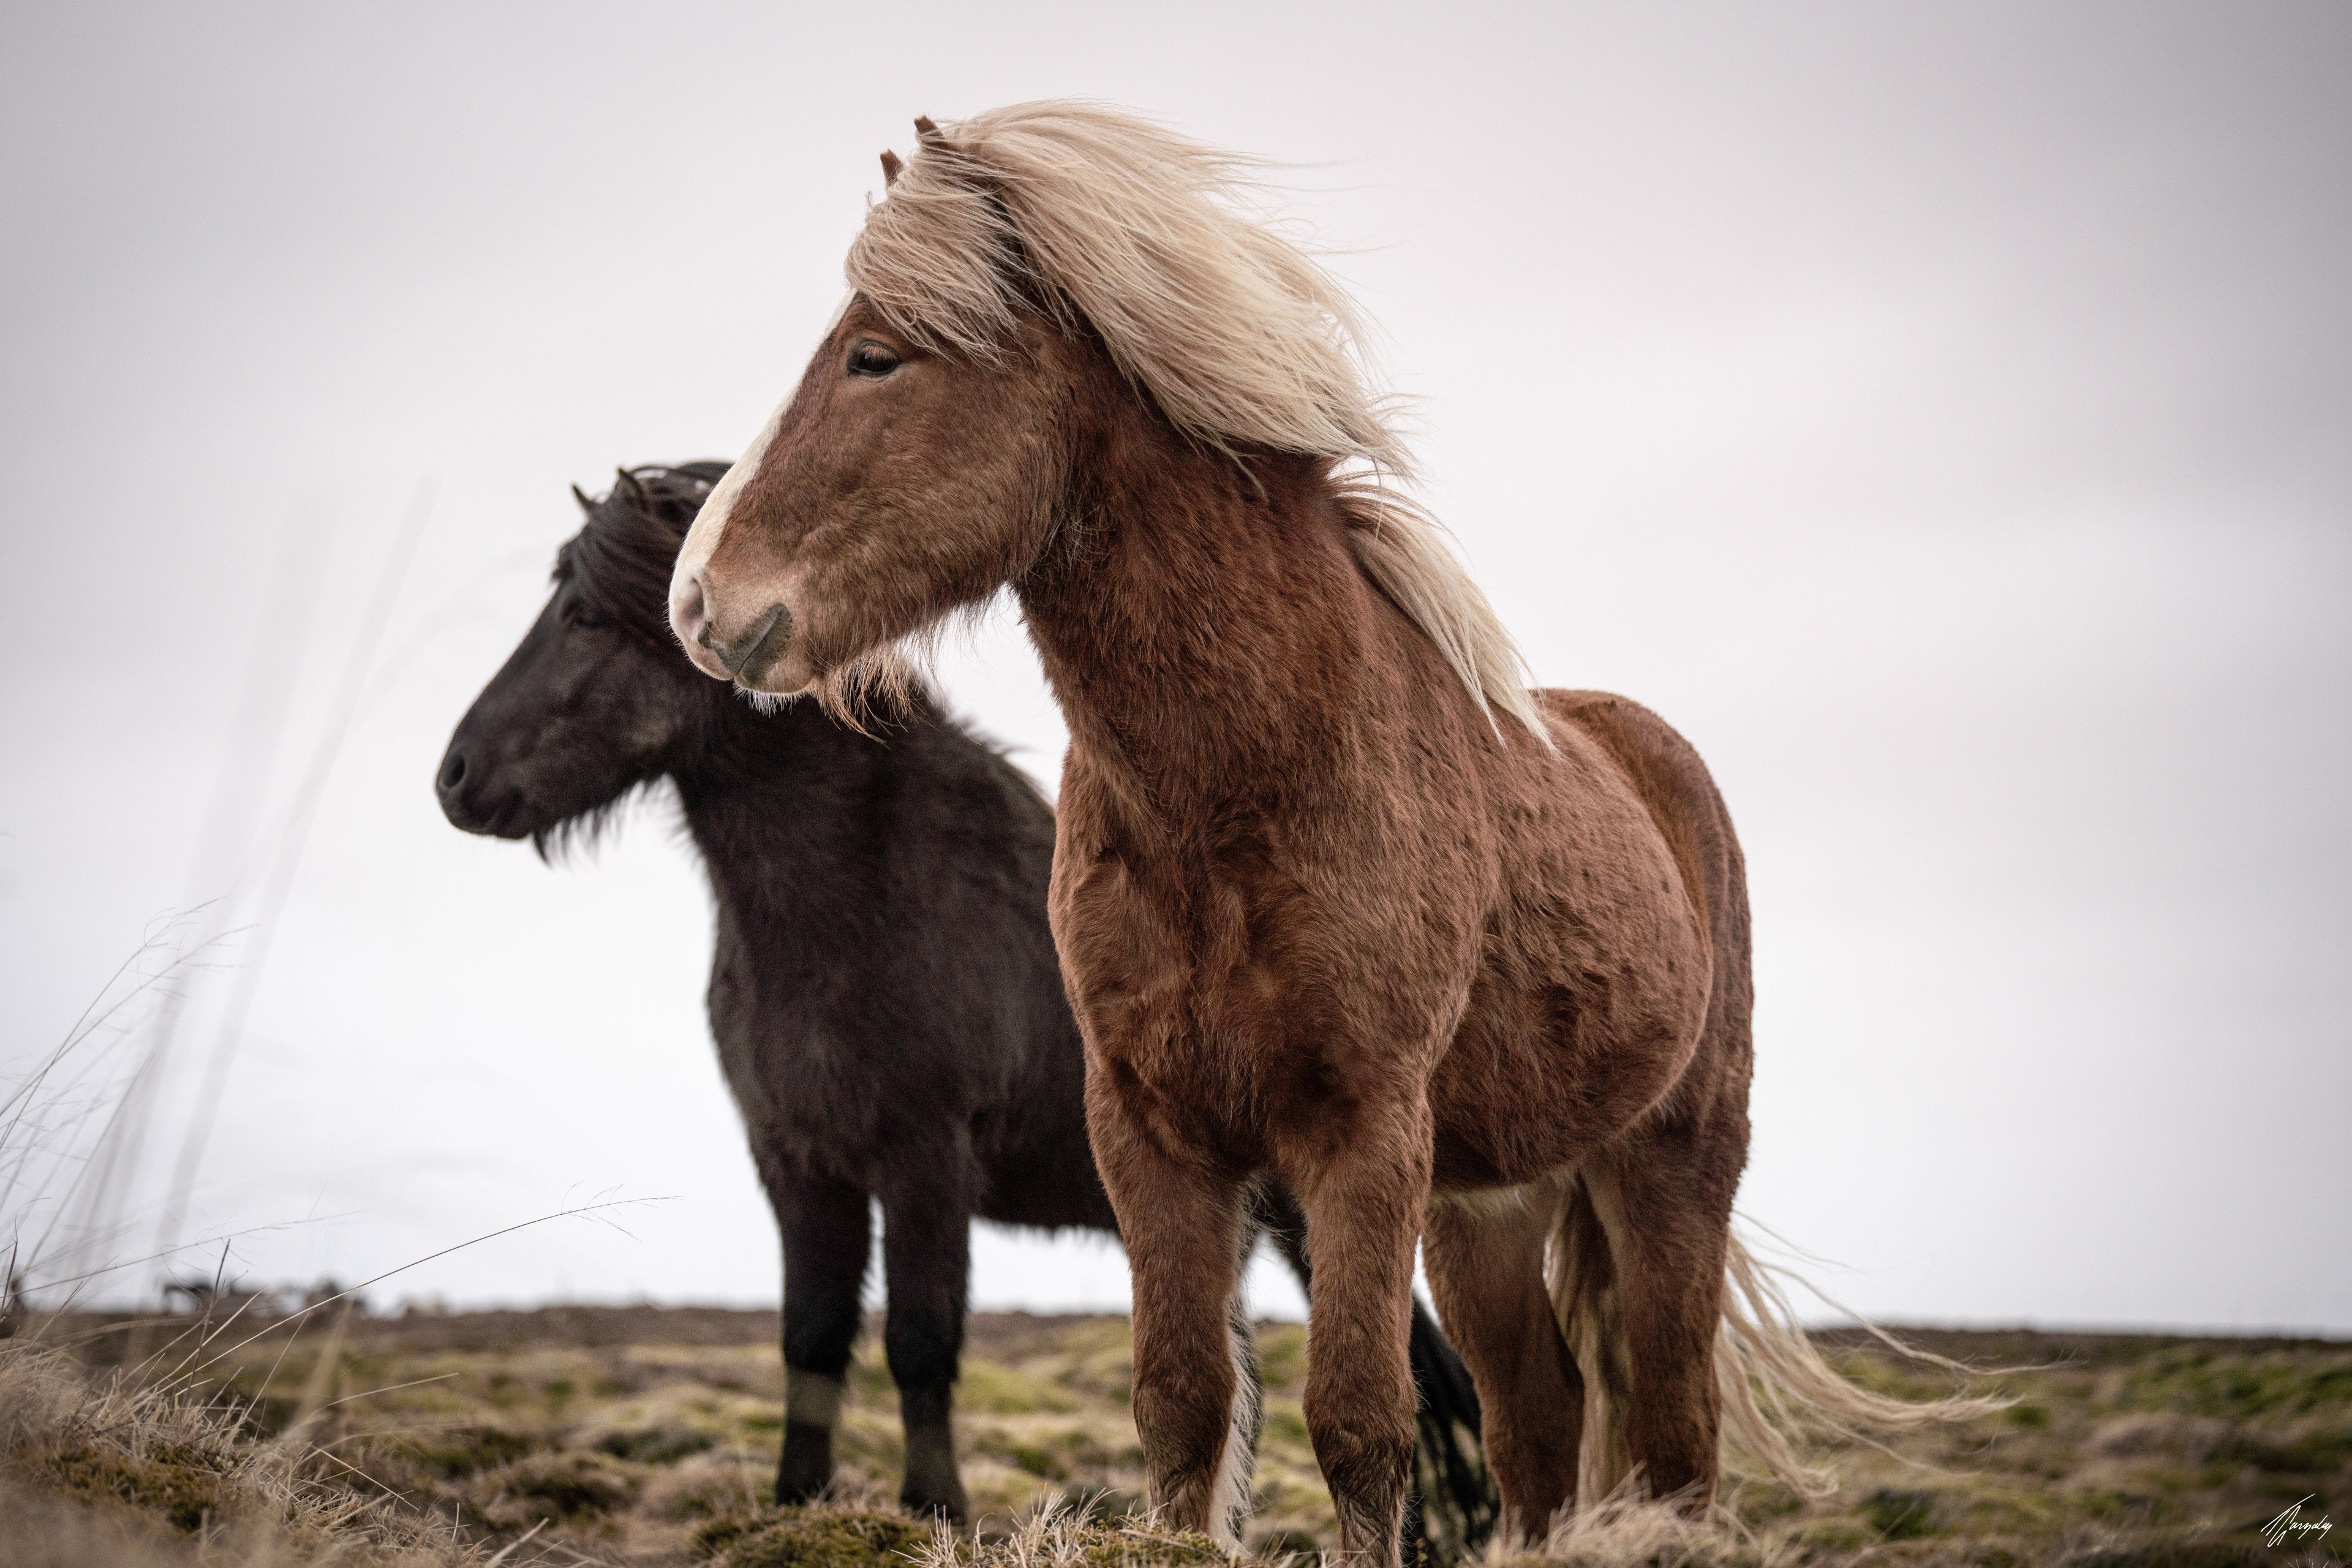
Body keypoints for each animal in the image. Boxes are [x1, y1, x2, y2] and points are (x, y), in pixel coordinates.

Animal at [435, 464, 1496, 1547]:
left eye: (583, 615)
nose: (458, 777)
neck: (855, 905)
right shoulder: (798, 1166)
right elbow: (811, 1340)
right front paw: (797, 1501)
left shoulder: (924, 1163)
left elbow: (919, 1342)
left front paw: (934, 1509)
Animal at [661, 104, 1989, 1564]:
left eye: (875, 355)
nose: (700, 601)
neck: (1250, 781)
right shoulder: (1154, 1135)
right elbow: (1184, 1403)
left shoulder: (1358, 1136)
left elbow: (1359, 1418)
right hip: (1487, 1204)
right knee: (1539, 1424)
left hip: (1668, 1169)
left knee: (1674, 1425)